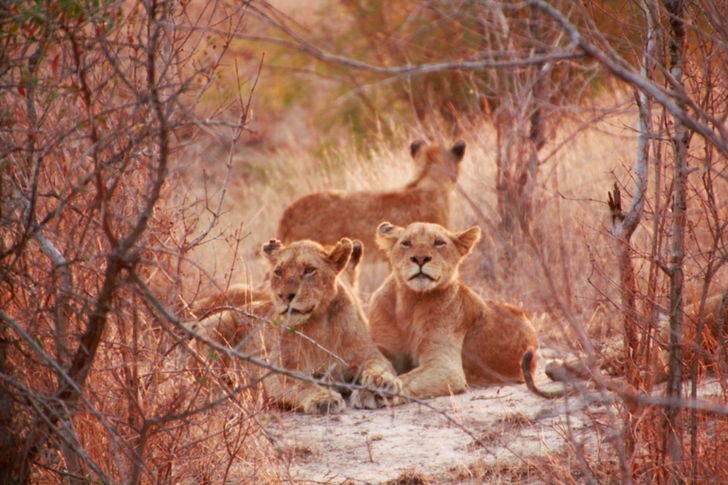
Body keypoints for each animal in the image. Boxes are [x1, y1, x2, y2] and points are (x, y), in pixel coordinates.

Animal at [187, 237, 401, 414]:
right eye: (278, 272)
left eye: (309, 270)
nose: (285, 296)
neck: (317, 325)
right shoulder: (275, 371)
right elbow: (301, 384)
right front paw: (323, 398)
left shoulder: (368, 354)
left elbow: (378, 367)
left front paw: (380, 387)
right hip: (220, 321)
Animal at [367, 221, 539, 400]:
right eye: (406, 243)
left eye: (438, 243)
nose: (420, 258)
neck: (411, 301)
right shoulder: (382, 347)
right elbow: (372, 362)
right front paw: (376, 381)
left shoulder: (446, 366)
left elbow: (409, 378)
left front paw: (386, 388)